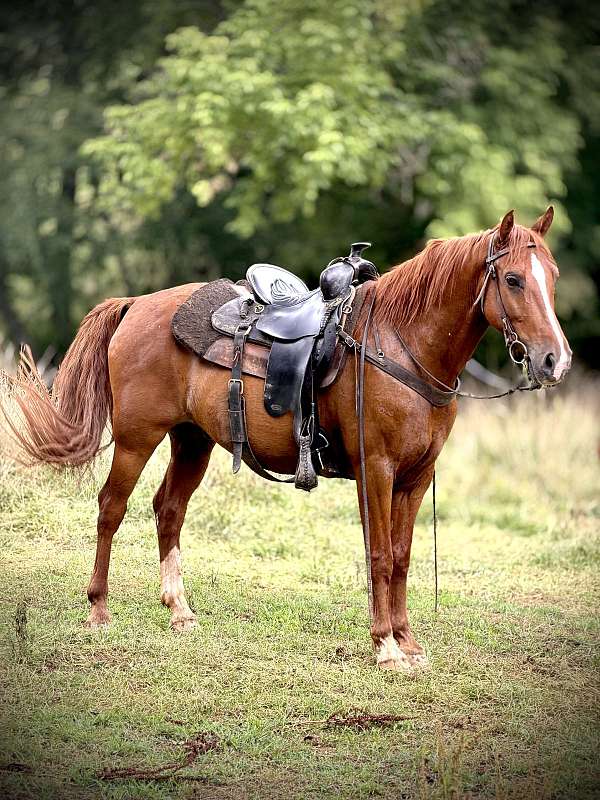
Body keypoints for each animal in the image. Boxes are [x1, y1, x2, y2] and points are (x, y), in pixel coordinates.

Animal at [2, 207, 571, 672]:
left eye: (553, 277)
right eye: (513, 279)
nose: (554, 360)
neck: (402, 345)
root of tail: (137, 304)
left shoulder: (416, 476)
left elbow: (403, 555)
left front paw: (408, 642)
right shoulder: (377, 469)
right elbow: (380, 556)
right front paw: (385, 646)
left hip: (192, 441)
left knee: (168, 510)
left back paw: (180, 610)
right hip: (137, 439)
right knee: (111, 508)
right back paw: (98, 608)